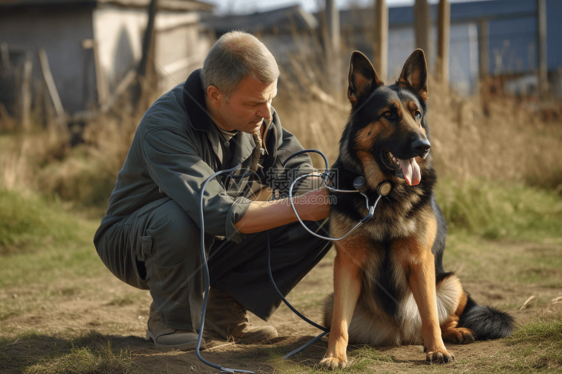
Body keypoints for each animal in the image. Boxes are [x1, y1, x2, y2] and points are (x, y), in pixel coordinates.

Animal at [320, 50, 512, 368]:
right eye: (388, 114)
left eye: (417, 114)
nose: (424, 146)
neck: (385, 193)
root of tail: (398, 334)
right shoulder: (347, 265)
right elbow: (339, 324)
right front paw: (334, 355)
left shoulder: (421, 261)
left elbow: (431, 316)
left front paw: (437, 350)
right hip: (330, 299)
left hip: (450, 283)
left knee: (442, 318)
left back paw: (456, 333)